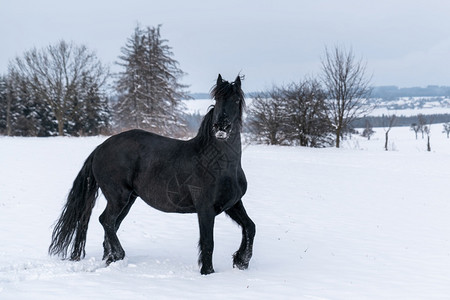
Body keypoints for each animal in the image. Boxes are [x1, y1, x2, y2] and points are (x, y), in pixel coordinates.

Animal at [50, 74, 255, 274]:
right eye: (217, 99)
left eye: (236, 100)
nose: (221, 127)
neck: (220, 164)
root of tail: (101, 147)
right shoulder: (205, 208)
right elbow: (208, 242)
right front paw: (208, 272)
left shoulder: (232, 203)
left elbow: (250, 227)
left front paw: (241, 261)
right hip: (118, 197)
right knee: (106, 221)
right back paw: (118, 255)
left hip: (128, 200)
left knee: (111, 225)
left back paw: (110, 260)